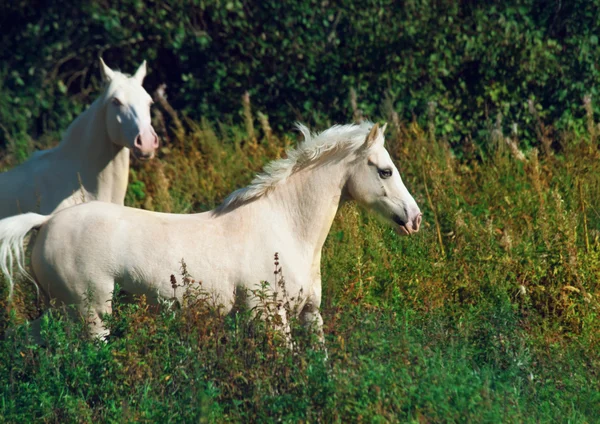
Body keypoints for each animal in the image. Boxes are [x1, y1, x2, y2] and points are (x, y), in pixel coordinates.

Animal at [0, 121, 422, 340]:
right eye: (385, 171)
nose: (415, 219)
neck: (286, 227)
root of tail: (45, 222)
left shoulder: (309, 313)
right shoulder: (270, 315)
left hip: (60, 310)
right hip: (91, 312)